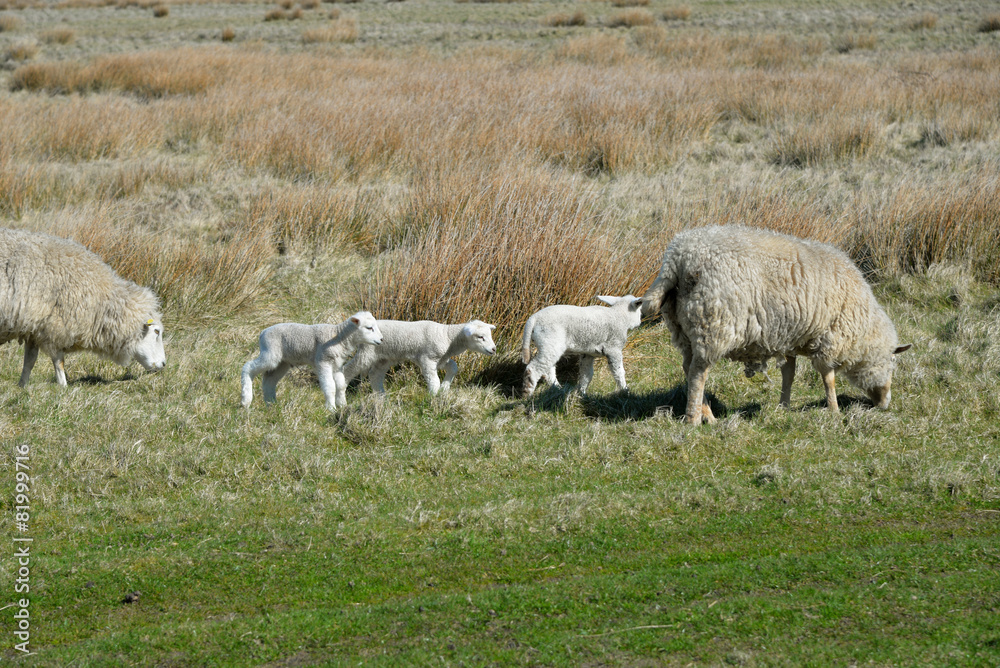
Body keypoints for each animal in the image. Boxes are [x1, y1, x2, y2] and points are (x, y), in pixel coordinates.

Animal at [0, 227, 165, 387]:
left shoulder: (34, 327)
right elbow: (59, 361)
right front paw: (63, 387)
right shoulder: (56, 326)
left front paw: (22, 386)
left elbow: (29, 361)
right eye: (156, 331)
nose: (163, 364)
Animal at [240, 313, 383, 410]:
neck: (339, 337)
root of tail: (262, 332)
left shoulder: (337, 365)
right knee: (248, 367)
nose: (381, 339)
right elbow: (330, 386)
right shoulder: (323, 361)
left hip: (282, 362)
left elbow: (341, 385)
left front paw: (343, 406)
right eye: (369, 328)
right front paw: (331, 408)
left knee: (269, 380)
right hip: (270, 353)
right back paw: (246, 400)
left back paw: (271, 403)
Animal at [343, 319, 497, 396]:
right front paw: (435, 397)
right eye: (480, 337)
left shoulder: (441, 359)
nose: (494, 349)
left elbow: (453, 367)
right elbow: (434, 380)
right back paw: (341, 398)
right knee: (348, 370)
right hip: (367, 351)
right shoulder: (428, 359)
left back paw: (381, 397)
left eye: (489, 335)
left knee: (375, 375)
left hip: (384, 357)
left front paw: (445, 388)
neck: (447, 335)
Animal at [641, 225, 911, 424]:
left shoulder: (789, 337)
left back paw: (705, 412)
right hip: (713, 323)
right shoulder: (828, 339)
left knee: (688, 367)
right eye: (892, 364)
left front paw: (784, 406)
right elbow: (828, 377)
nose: (884, 405)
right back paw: (695, 419)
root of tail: (679, 256)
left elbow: (789, 374)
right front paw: (834, 410)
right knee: (699, 372)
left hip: (683, 327)